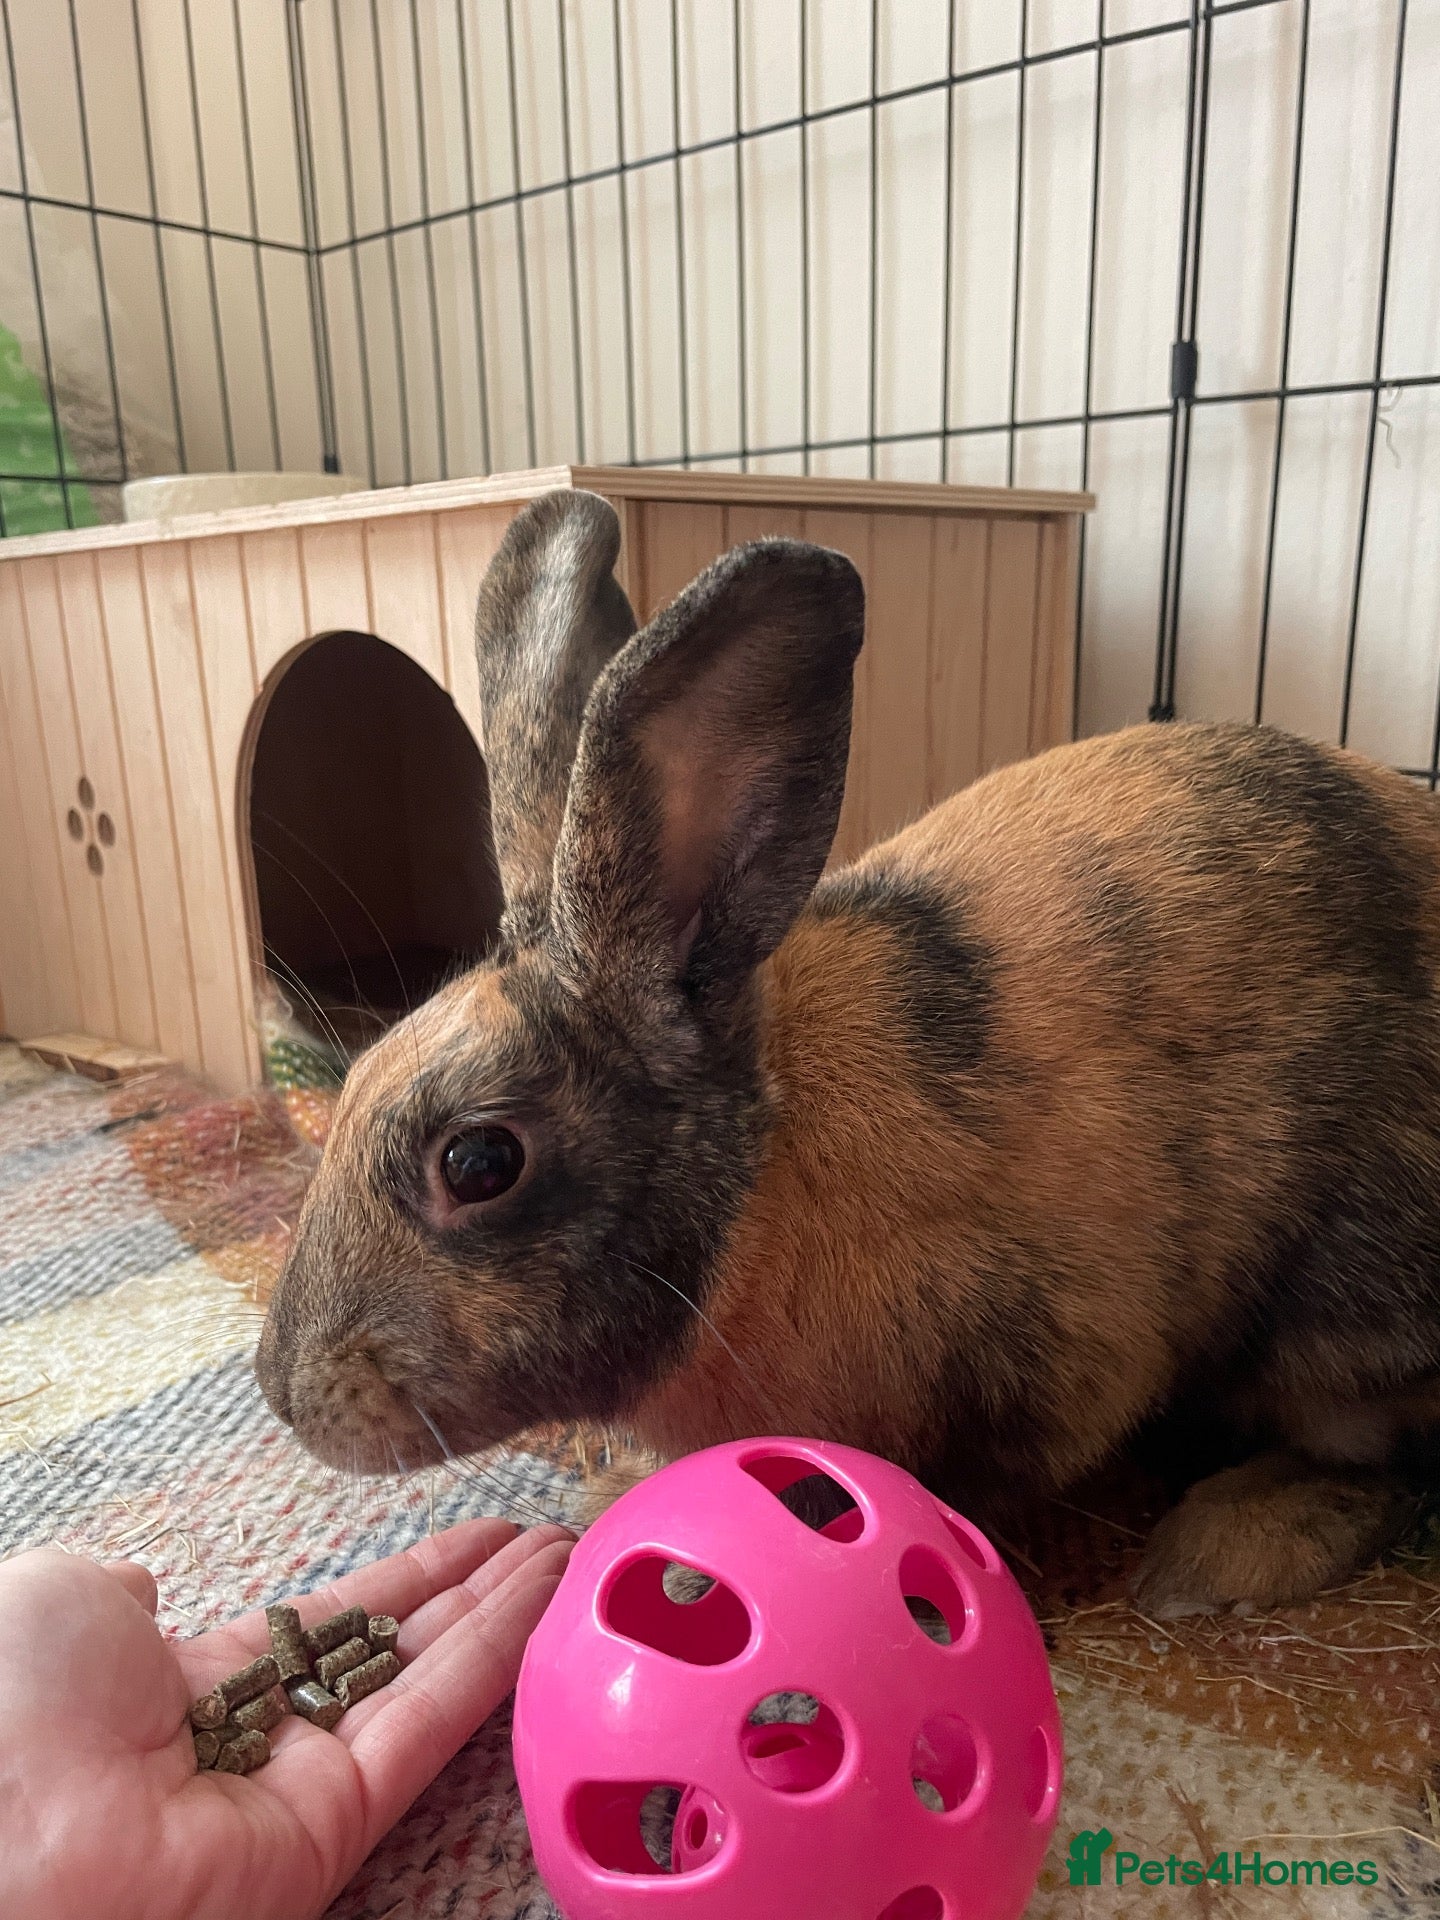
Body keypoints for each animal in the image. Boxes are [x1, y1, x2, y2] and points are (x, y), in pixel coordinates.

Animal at [255, 486, 1440, 1618]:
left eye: (478, 1162)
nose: (286, 1394)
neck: (757, 1198)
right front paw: (615, 1490)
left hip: (1341, 1318)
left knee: (1383, 1464)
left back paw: (1221, 1552)